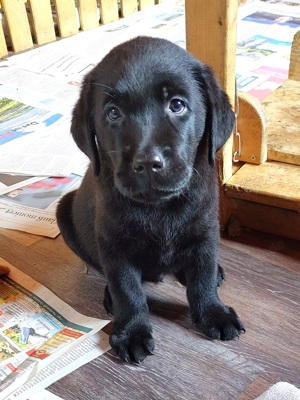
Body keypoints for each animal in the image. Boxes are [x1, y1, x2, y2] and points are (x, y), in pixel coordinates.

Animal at [56, 36, 244, 364]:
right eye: (113, 113)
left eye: (177, 105)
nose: (147, 162)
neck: (159, 208)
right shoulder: (113, 245)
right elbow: (127, 290)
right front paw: (131, 331)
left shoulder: (206, 231)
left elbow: (203, 276)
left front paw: (213, 312)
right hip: (64, 212)